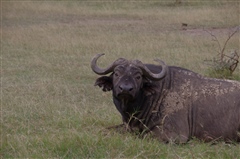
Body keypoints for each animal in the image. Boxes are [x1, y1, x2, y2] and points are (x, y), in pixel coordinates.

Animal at [90, 54, 240, 143]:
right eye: (116, 74)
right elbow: (105, 130)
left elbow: (145, 136)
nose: (126, 89)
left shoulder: (174, 135)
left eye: (138, 76)